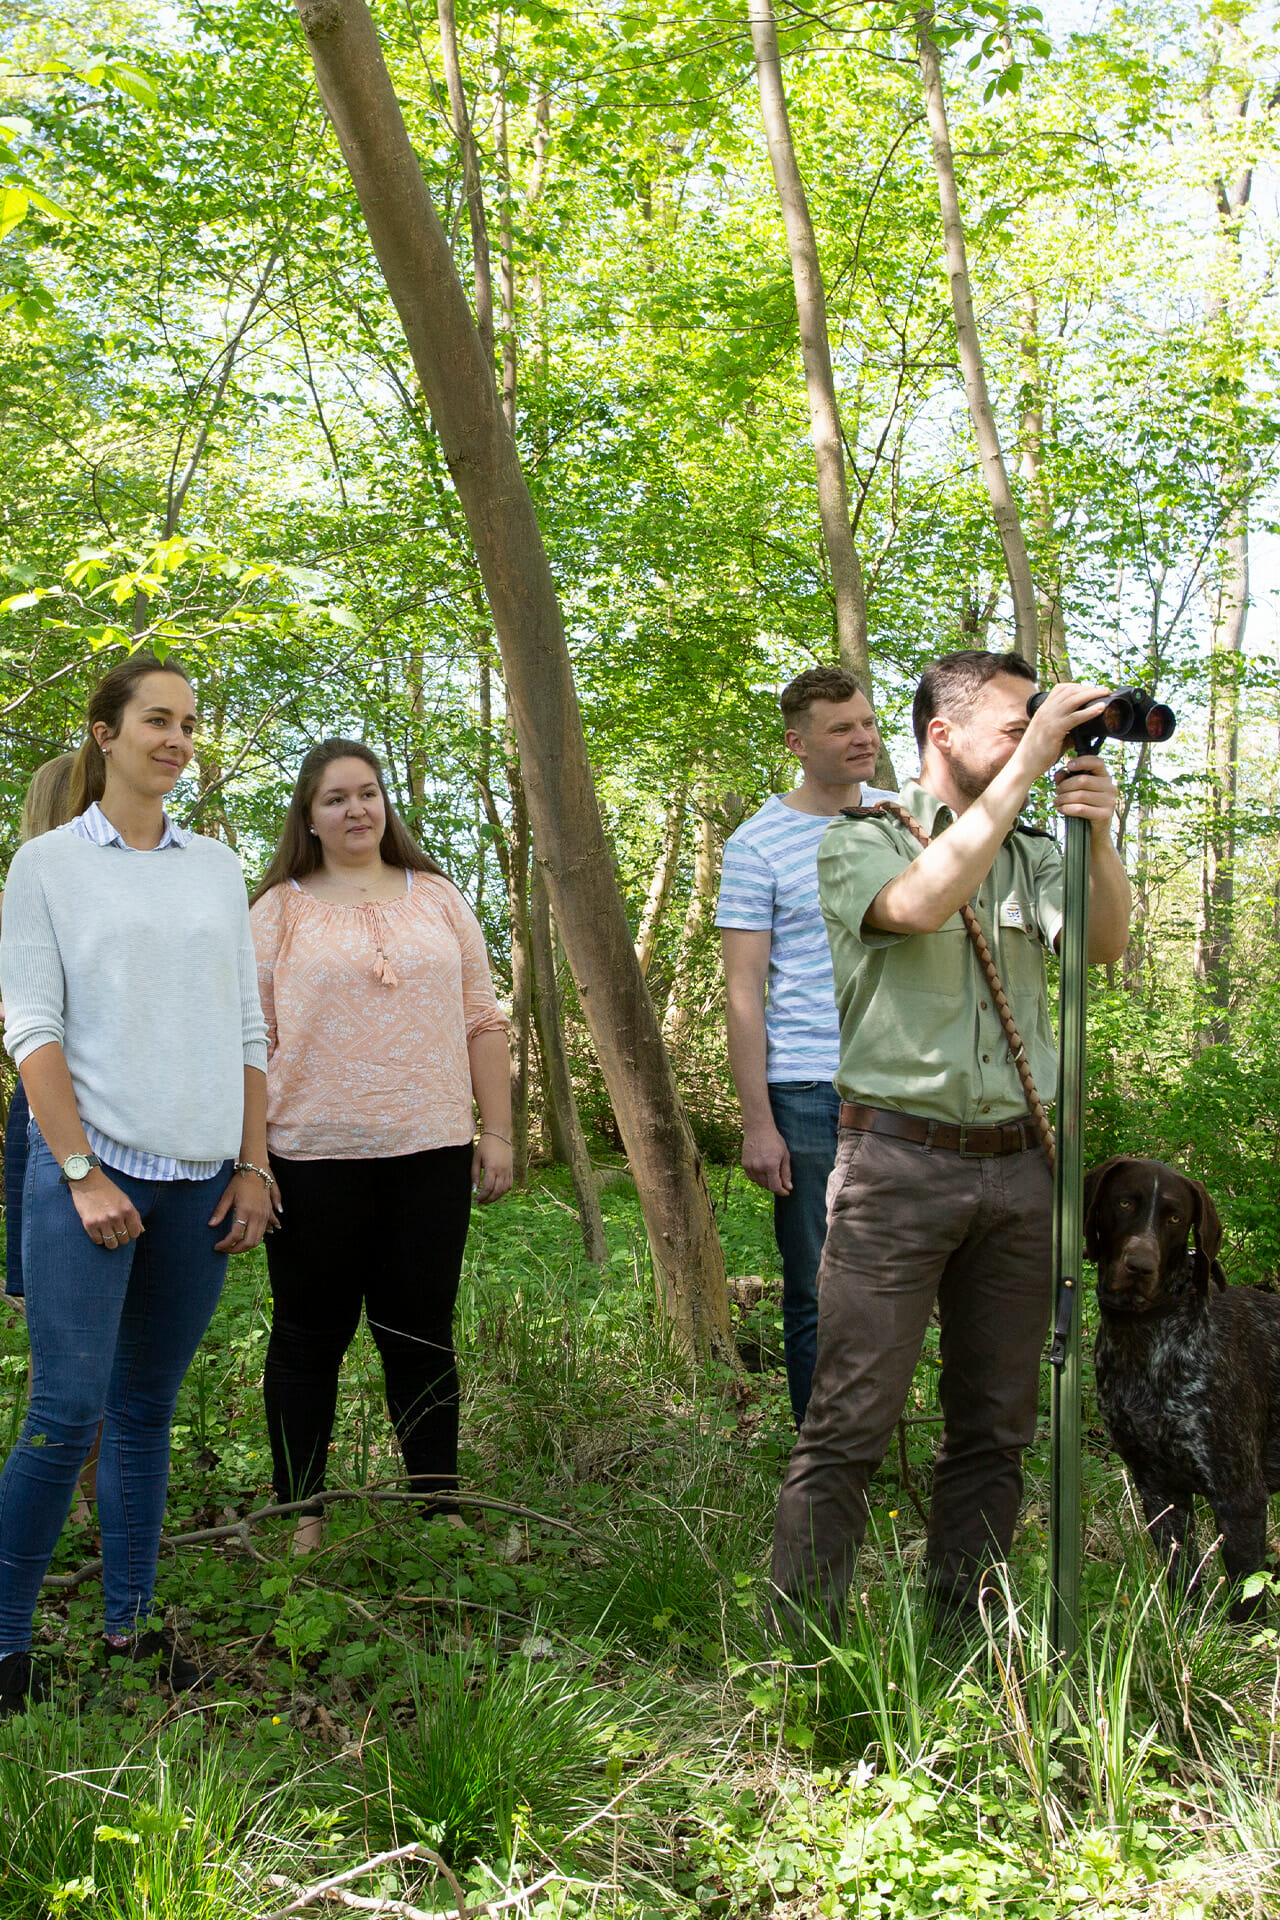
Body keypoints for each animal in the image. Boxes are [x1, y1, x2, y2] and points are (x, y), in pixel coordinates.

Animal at [1090, 1152, 1280, 1620]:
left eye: (1175, 1217)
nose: (1140, 1267)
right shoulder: (1159, 1489)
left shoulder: (1239, 1497)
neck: (1145, 1335)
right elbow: (1181, 1580)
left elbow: (1247, 1600)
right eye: (1125, 1202)